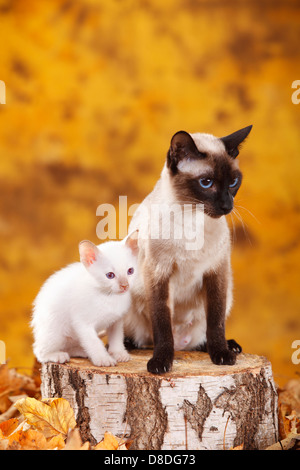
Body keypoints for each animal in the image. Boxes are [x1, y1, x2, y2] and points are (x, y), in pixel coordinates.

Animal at [30, 231, 138, 368]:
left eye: (130, 271)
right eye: (110, 275)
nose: (125, 285)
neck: (109, 296)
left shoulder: (117, 321)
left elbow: (116, 337)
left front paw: (118, 353)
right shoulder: (82, 323)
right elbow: (94, 342)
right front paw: (103, 358)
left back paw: (81, 351)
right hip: (54, 331)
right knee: (39, 350)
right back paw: (56, 355)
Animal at [123, 125, 252, 374]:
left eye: (233, 182)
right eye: (206, 182)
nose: (227, 206)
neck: (193, 219)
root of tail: (182, 345)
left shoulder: (216, 273)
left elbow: (216, 322)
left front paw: (222, 355)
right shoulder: (158, 274)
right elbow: (162, 325)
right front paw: (161, 363)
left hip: (226, 294)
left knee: (202, 337)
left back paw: (229, 347)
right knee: (137, 339)